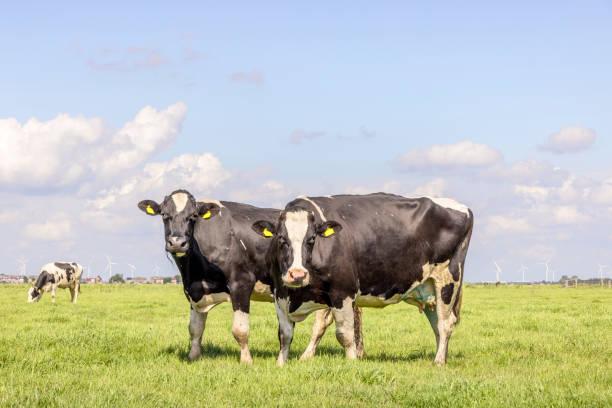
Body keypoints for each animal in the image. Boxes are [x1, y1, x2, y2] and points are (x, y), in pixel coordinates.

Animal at [137, 191, 364, 366]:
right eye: (164, 215)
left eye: (193, 216)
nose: (177, 242)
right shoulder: (194, 290)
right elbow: (195, 329)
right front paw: (193, 357)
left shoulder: (241, 284)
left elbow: (240, 330)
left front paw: (246, 360)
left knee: (331, 321)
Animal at [253, 193, 474, 364]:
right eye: (281, 239)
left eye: (312, 239)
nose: (297, 274)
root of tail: (463, 207)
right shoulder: (280, 294)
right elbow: (285, 335)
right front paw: (281, 363)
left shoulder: (342, 293)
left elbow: (345, 335)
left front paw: (352, 362)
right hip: (429, 288)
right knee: (437, 324)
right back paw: (441, 357)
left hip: (448, 279)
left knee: (445, 324)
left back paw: (438, 362)